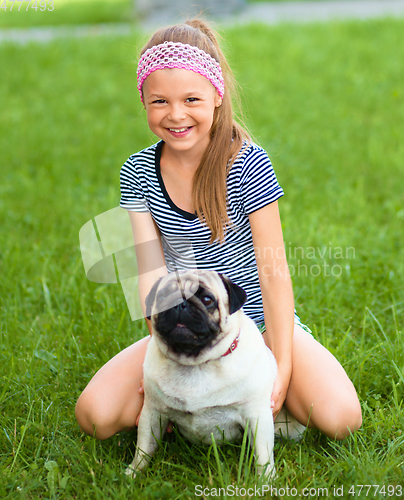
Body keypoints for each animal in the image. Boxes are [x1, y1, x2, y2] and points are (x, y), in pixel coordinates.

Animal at [125, 268, 304, 478]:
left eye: (207, 299)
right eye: (162, 297)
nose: (180, 303)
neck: (196, 363)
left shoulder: (257, 415)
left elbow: (263, 455)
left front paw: (265, 480)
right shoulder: (153, 412)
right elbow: (144, 446)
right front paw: (134, 472)